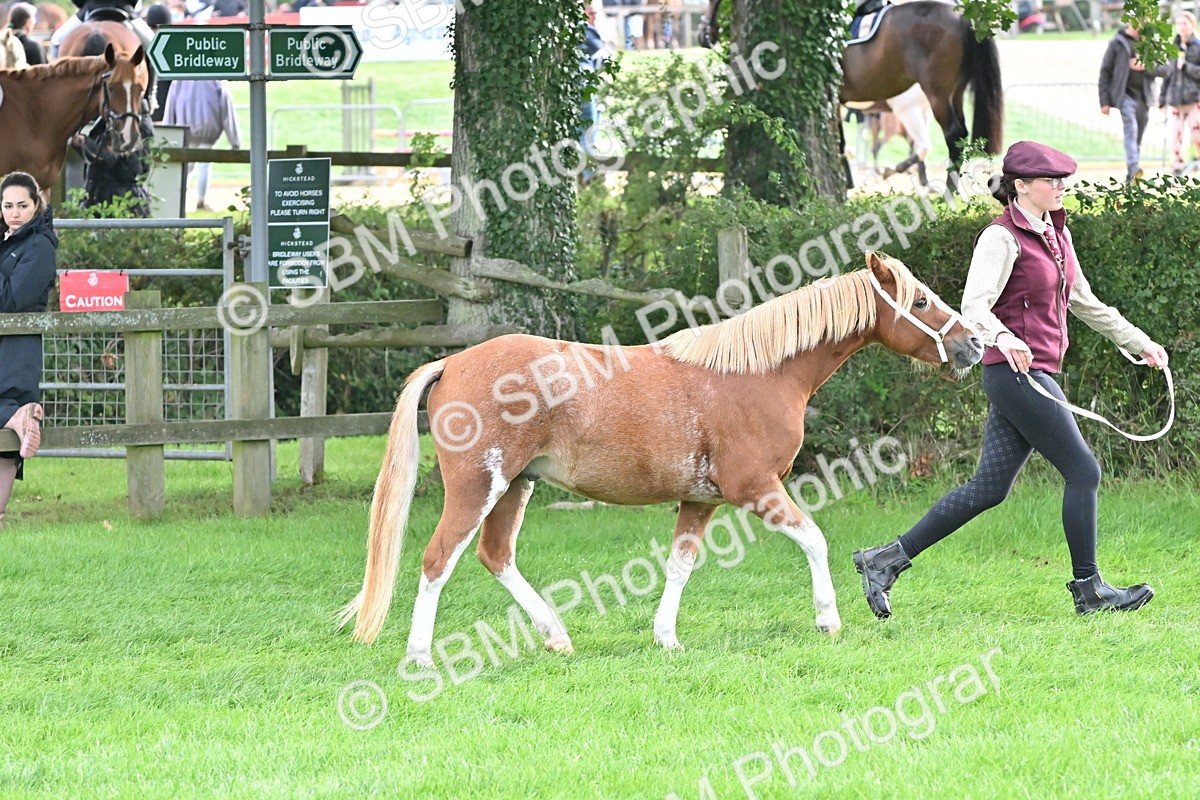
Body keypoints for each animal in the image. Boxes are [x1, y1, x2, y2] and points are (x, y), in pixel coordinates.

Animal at [338, 252, 984, 664]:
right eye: (920, 299)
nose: (972, 343)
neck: (758, 374)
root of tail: (453, 361)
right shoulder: (755, 487)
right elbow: (816, 539)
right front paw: (829, 618)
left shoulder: (700, 500)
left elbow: (679, 565)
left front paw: (666, 636)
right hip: (478, 488)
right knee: (437, 560)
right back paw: (421, 655)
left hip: (516, 486)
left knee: (495, 557)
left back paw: (556, 636)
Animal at [699, 0, 1003, 169]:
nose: (704, 35)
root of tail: (961, 14)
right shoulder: (836, 102)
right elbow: (840, 144)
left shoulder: (834, 100)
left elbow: (840, 144)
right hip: (954, 93)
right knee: (961, 138)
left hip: (936, 94)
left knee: (952, 135)